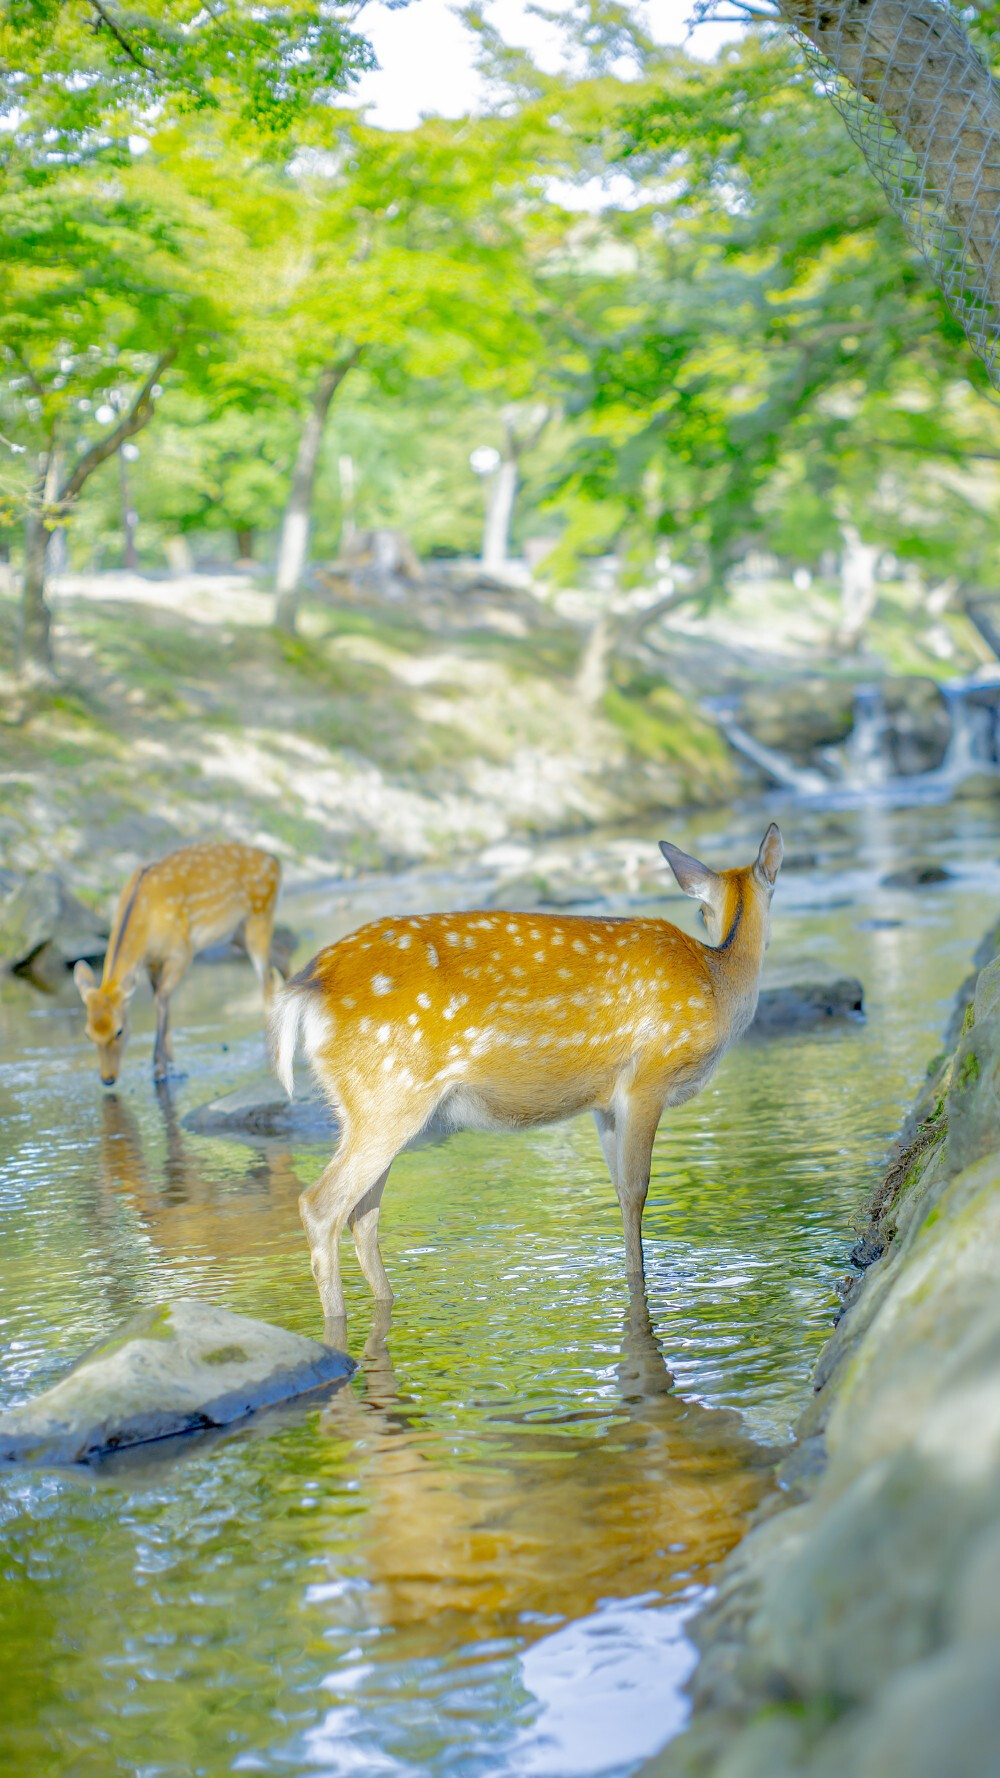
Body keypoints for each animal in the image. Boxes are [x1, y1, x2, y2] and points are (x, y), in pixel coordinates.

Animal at [74, 842, 281, 1088]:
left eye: (119, 1031)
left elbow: (162, 999)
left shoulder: (181, 952)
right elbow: (162, 1001)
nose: (108, 1078)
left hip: (259, 916)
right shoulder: (152, 963)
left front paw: (161, 1069)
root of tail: (275, 861)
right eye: (88, 1033)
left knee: (266, 983)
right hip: (237, 932)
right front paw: (172, 1064)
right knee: (280, 961)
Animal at [270, 821, 779, 1322]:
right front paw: (640, 1283)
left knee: (363, 1213)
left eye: (702, 910)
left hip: (368, 1104)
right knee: (322, 1206)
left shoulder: (605, 1103)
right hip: (390, 1092)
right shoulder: (648, 1078)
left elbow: (618, 1190)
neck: (717, 981)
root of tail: (306, 987)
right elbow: (637, 1190)